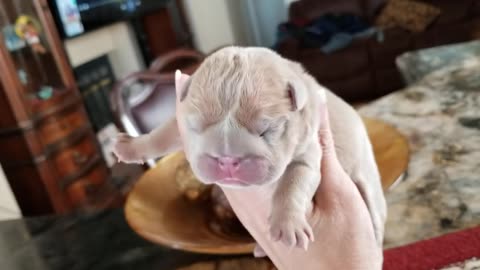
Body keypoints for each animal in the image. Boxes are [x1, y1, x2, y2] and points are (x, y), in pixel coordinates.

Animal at [114, 47, 388, 253]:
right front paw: (130, 147)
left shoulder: (307, 150)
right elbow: (161, 135)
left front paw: (288, 225)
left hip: (366, 180)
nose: (227, 160)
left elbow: (292, 183)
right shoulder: (178, 124)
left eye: (266, 130)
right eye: (196, 127)